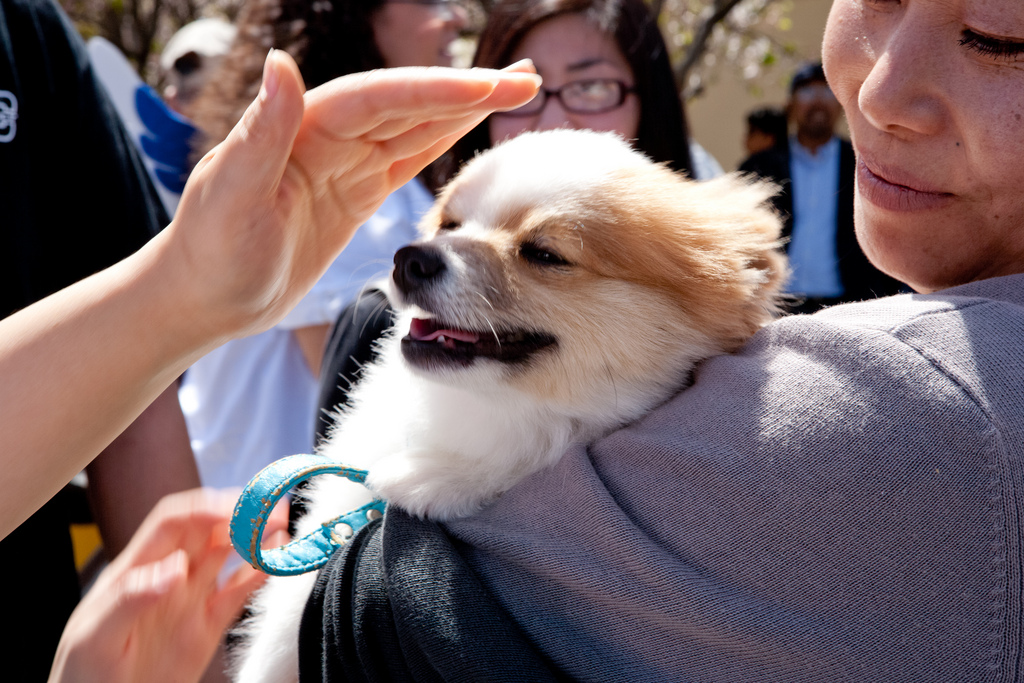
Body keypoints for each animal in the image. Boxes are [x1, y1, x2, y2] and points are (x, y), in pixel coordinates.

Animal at [235, 129, 786, 683]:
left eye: (544, 254)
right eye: (449, 226)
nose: (411, 257)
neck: (485, 409)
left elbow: (547, 442)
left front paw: (439, 478)